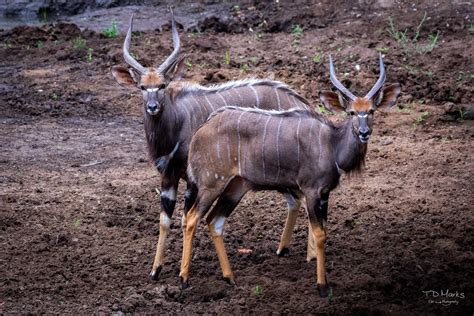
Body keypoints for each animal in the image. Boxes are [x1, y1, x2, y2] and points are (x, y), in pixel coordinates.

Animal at [112, 11, 314, 280]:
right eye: (142, 87)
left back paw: (310, 257)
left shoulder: (192, 179)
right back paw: (283, 250)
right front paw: (155, 270)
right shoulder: (168, 176)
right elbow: (165, 220)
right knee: (296, 200)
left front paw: (183, 271)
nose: (152, 107)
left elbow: (186, 218)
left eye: (162, 85)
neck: (175, 124)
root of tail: (301, 102)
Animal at [181, 53, 400, 296]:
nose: (363, 132)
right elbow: (319, 233)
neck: (332, 144)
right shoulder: (312, 191)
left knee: (214, 220)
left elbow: (324, 231)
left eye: (371, 111)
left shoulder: (325, 194)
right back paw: (184, 279)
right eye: (351, 112)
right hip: (211, 184)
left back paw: (230, 278)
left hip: (236, 187)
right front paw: (322, 286)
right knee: (192, 218)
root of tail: (201, 131)